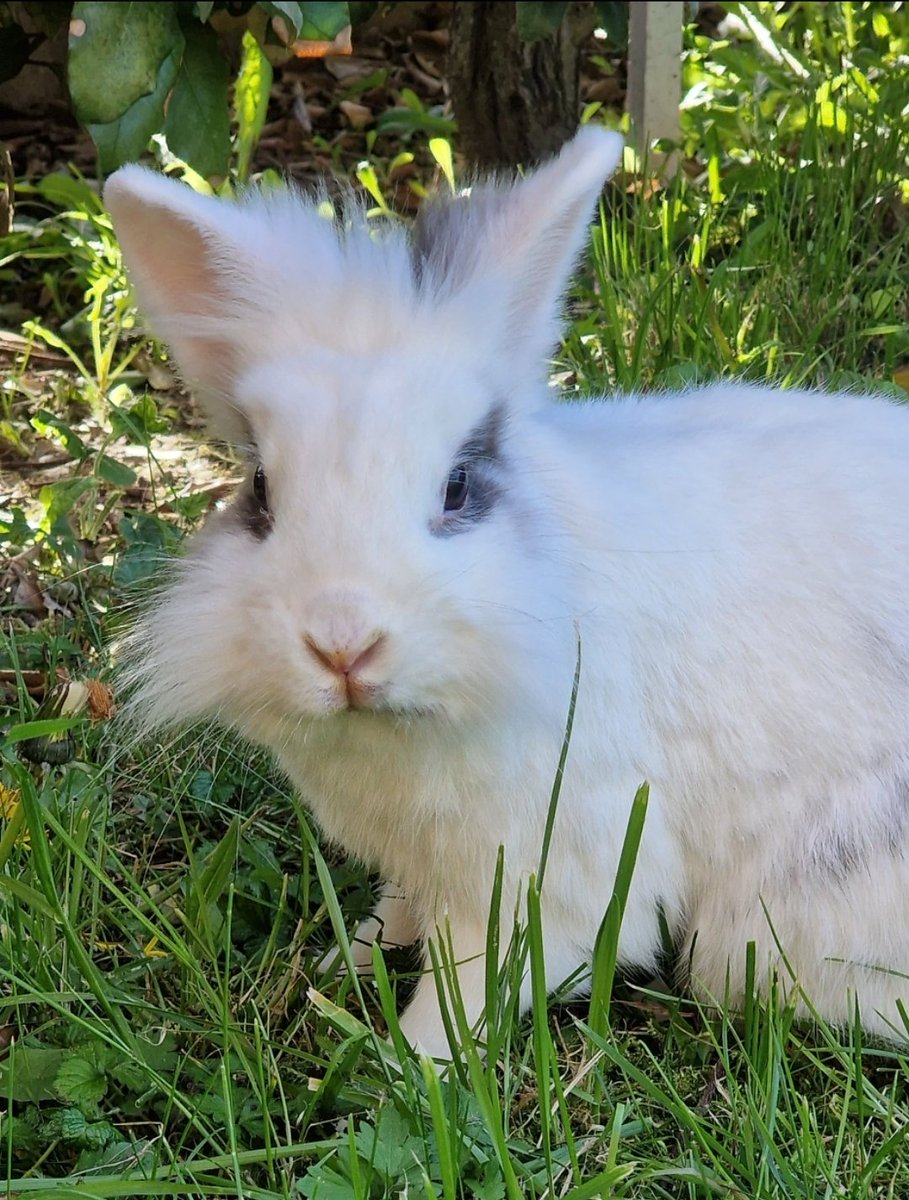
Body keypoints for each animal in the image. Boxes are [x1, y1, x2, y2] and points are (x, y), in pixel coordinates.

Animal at [105, 126, 909, 1059]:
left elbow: (474, 980)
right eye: (261, 491)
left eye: (458, 487)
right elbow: (402, 914)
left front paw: (410, 1061)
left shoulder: (547, 870)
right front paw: (357, 954)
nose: (342, 643)